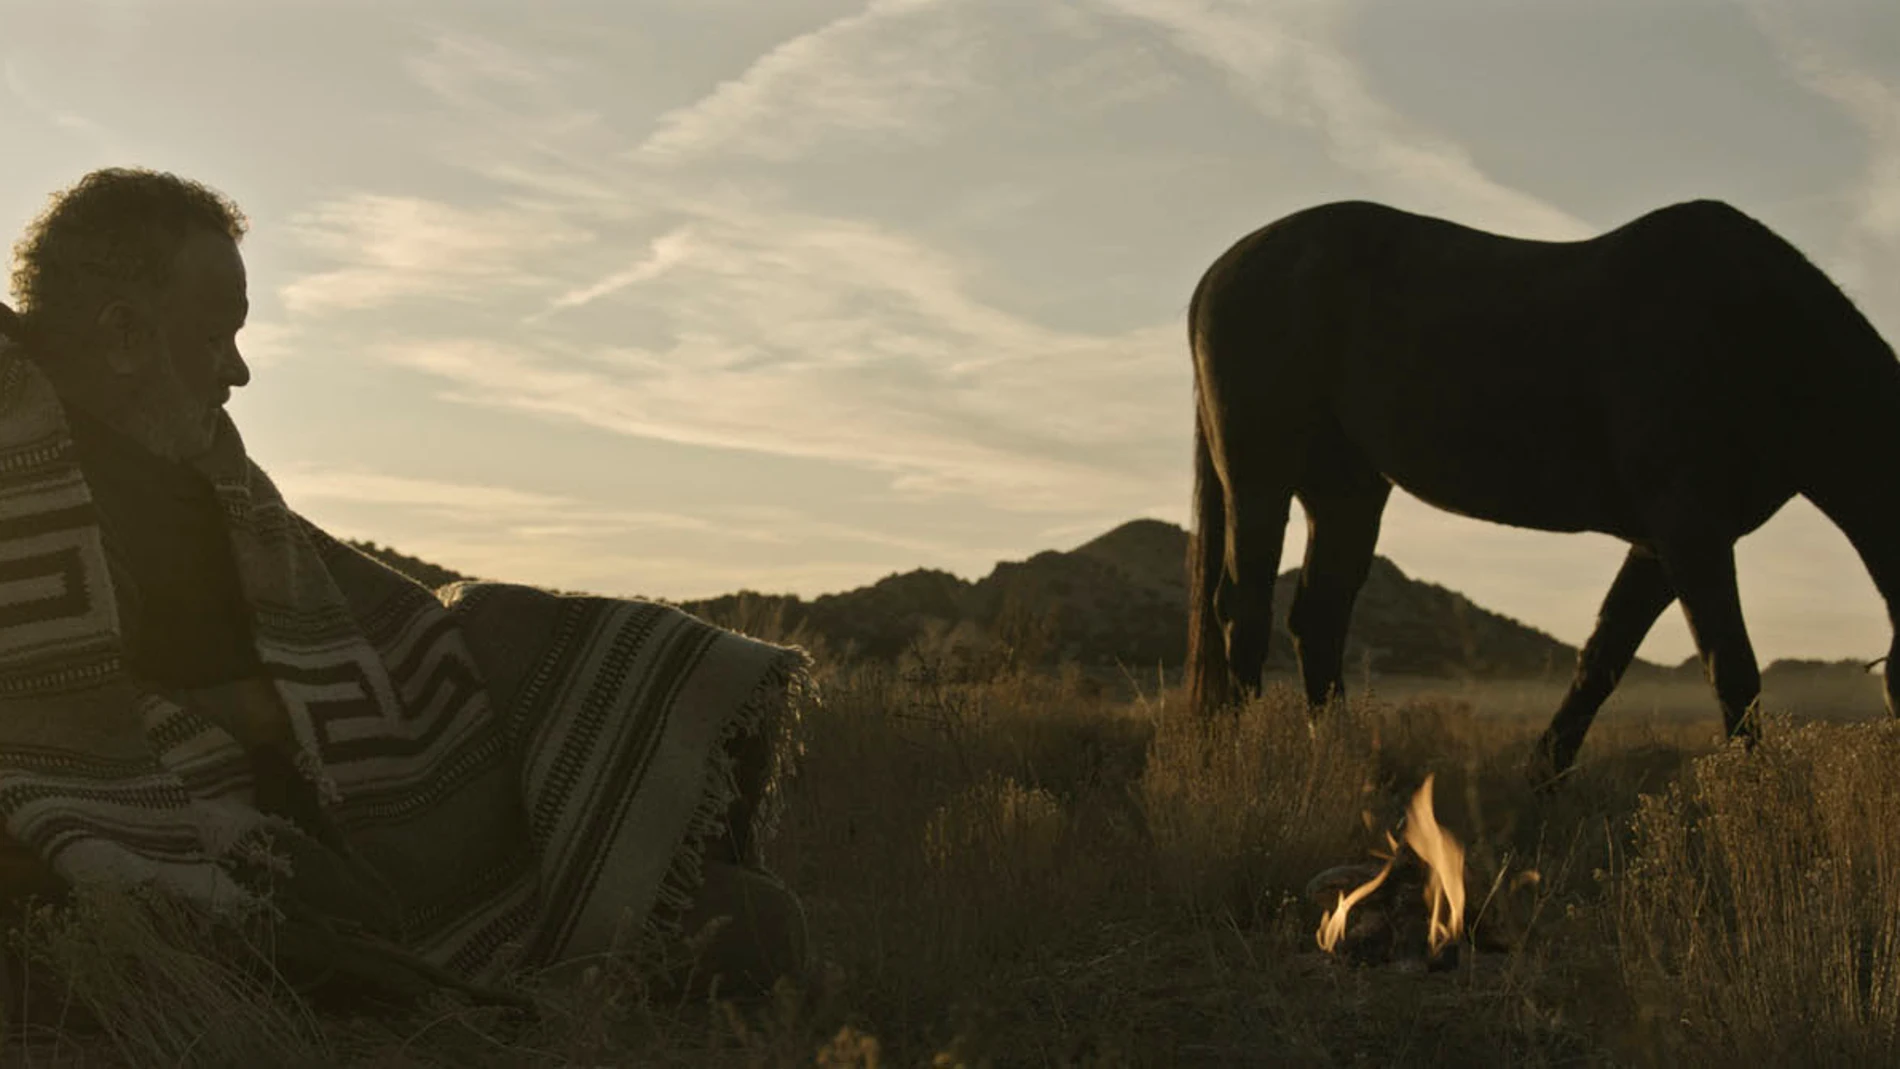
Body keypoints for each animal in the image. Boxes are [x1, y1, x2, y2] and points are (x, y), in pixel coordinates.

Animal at [1185, 198, 1900, 778]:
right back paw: (1242, 768)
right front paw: (1763, 796)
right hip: (1260, 480)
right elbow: (1732, 667)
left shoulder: (1659, 545)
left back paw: (1339, 762)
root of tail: (1219, 273)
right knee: (1243, 609)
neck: (1762, 335)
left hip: (1346, 493)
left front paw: (1543, 775)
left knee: (1319, 619)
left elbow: (1603, 659)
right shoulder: (1690, 532)